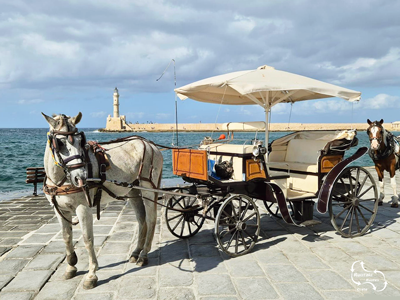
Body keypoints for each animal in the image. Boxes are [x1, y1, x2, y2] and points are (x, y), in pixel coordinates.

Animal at [41, 112, 162, 288]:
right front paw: (71, 266)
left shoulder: (83, 207)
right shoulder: (59, 209)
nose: (81, 178)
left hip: (148, 188)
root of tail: (151, 144)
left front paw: (92, 274)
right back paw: (136, 252)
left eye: (80, 141)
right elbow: (66, 237)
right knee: (142, 220)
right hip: (133, 190)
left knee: (151, 219)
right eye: (60, 143)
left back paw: (144, 254)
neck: (61, 180)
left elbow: (87, 239)